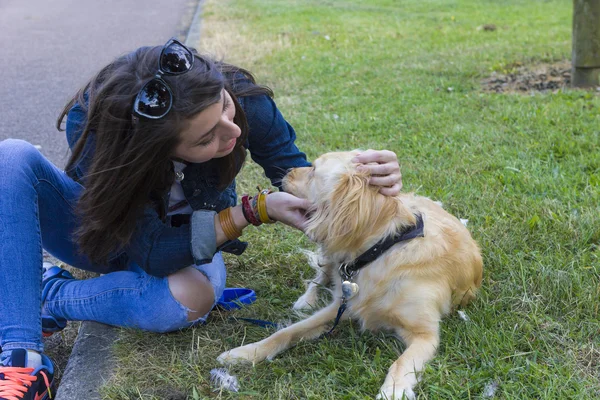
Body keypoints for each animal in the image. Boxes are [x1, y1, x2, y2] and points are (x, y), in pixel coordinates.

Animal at [218, 151, 486, 400]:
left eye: (313, 169)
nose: (287, 171)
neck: (381, 249)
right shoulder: (342, 306)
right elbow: (286, 331)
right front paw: (246, 352)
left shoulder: (425, 334)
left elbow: (401, 362)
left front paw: (393, 390)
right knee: (319, 278)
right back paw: (306, 300)